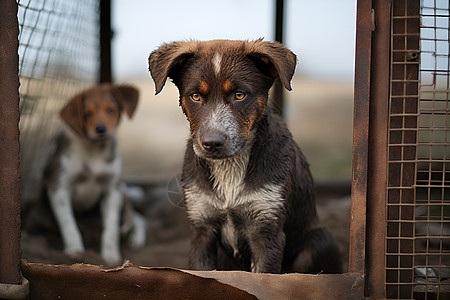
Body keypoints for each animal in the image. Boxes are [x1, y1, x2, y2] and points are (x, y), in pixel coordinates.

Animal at [44, 82, 146, 264]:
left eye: (111, 110)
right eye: (86, 114)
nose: (101, 129)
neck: (95, 151)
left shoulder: (112, 190)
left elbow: (111, 228)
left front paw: (110, 256)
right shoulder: (58, 187)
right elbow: (68, 223)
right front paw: (75, 249)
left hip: (122, 192)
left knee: (138, 218)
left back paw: (136, 239)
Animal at [148, 38, 342, 274]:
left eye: (239, 94)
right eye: (195, 96)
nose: (212, 143)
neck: (230, 167)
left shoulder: (266, 229)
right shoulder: (201, 228)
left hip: (320, 240)